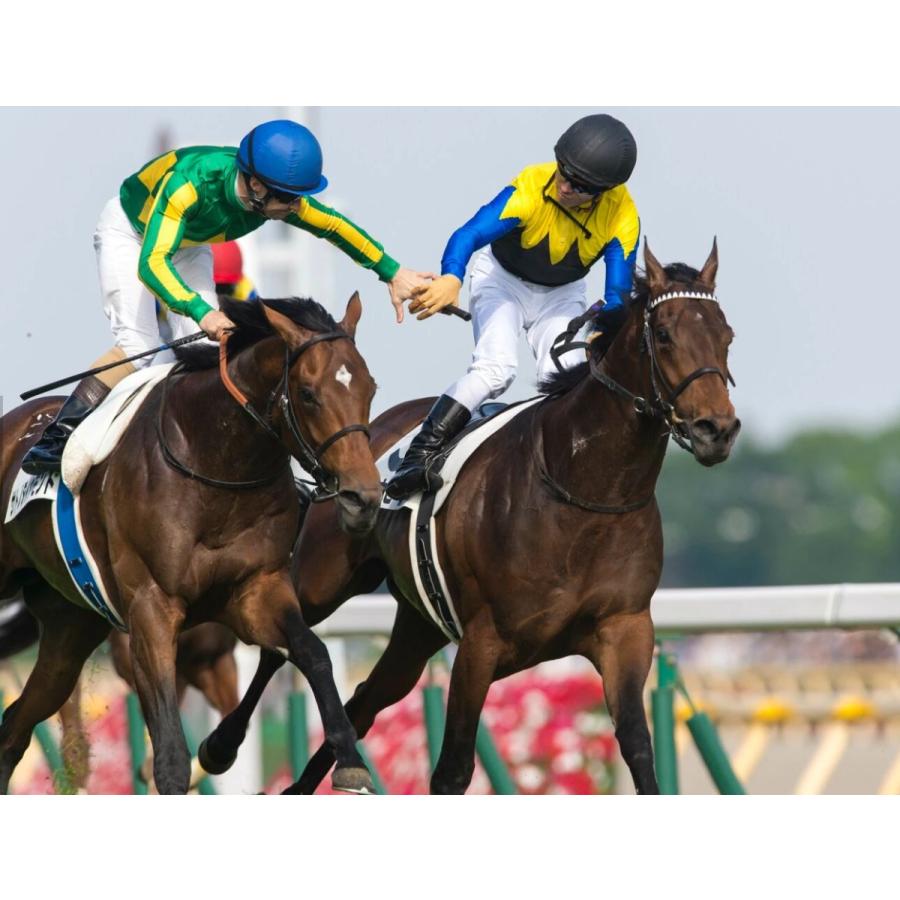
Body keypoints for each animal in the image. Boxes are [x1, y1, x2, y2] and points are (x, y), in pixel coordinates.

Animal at [0, 293, 382, 794]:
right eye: (308, 394)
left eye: (370, 388)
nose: (364, 498)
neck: (217, 465)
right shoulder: (151, 610)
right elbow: (167, 757)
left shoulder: (255, 592)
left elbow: (313, 653)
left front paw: (350, 760)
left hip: (69, 627)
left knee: (15, 726)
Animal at [200, 241, 740, 794]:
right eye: (665, 334)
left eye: (726, 336)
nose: (716, 429)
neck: (584, 491)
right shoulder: (483, 643)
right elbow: (453, 769)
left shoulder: (625, 629)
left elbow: (637, 748)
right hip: (320, 580)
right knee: (280, 647)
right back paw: (221, 746)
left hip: (419, 628)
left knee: (365, 699)